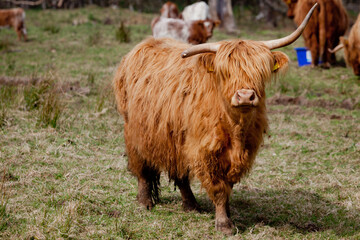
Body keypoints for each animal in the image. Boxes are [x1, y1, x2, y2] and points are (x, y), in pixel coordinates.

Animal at [114, 3, 318, 234]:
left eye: (260, 71)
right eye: (225, 72)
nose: (245, 96)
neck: (236, 129)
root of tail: (146, 43)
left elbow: (228, 186)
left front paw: (228, 214)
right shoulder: (206, 150)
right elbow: (219, 188)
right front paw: (224, 224)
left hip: (175, 139)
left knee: (180, 173)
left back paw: (191, 205)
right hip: (135, 131)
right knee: (141, 167)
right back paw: (145, 202)